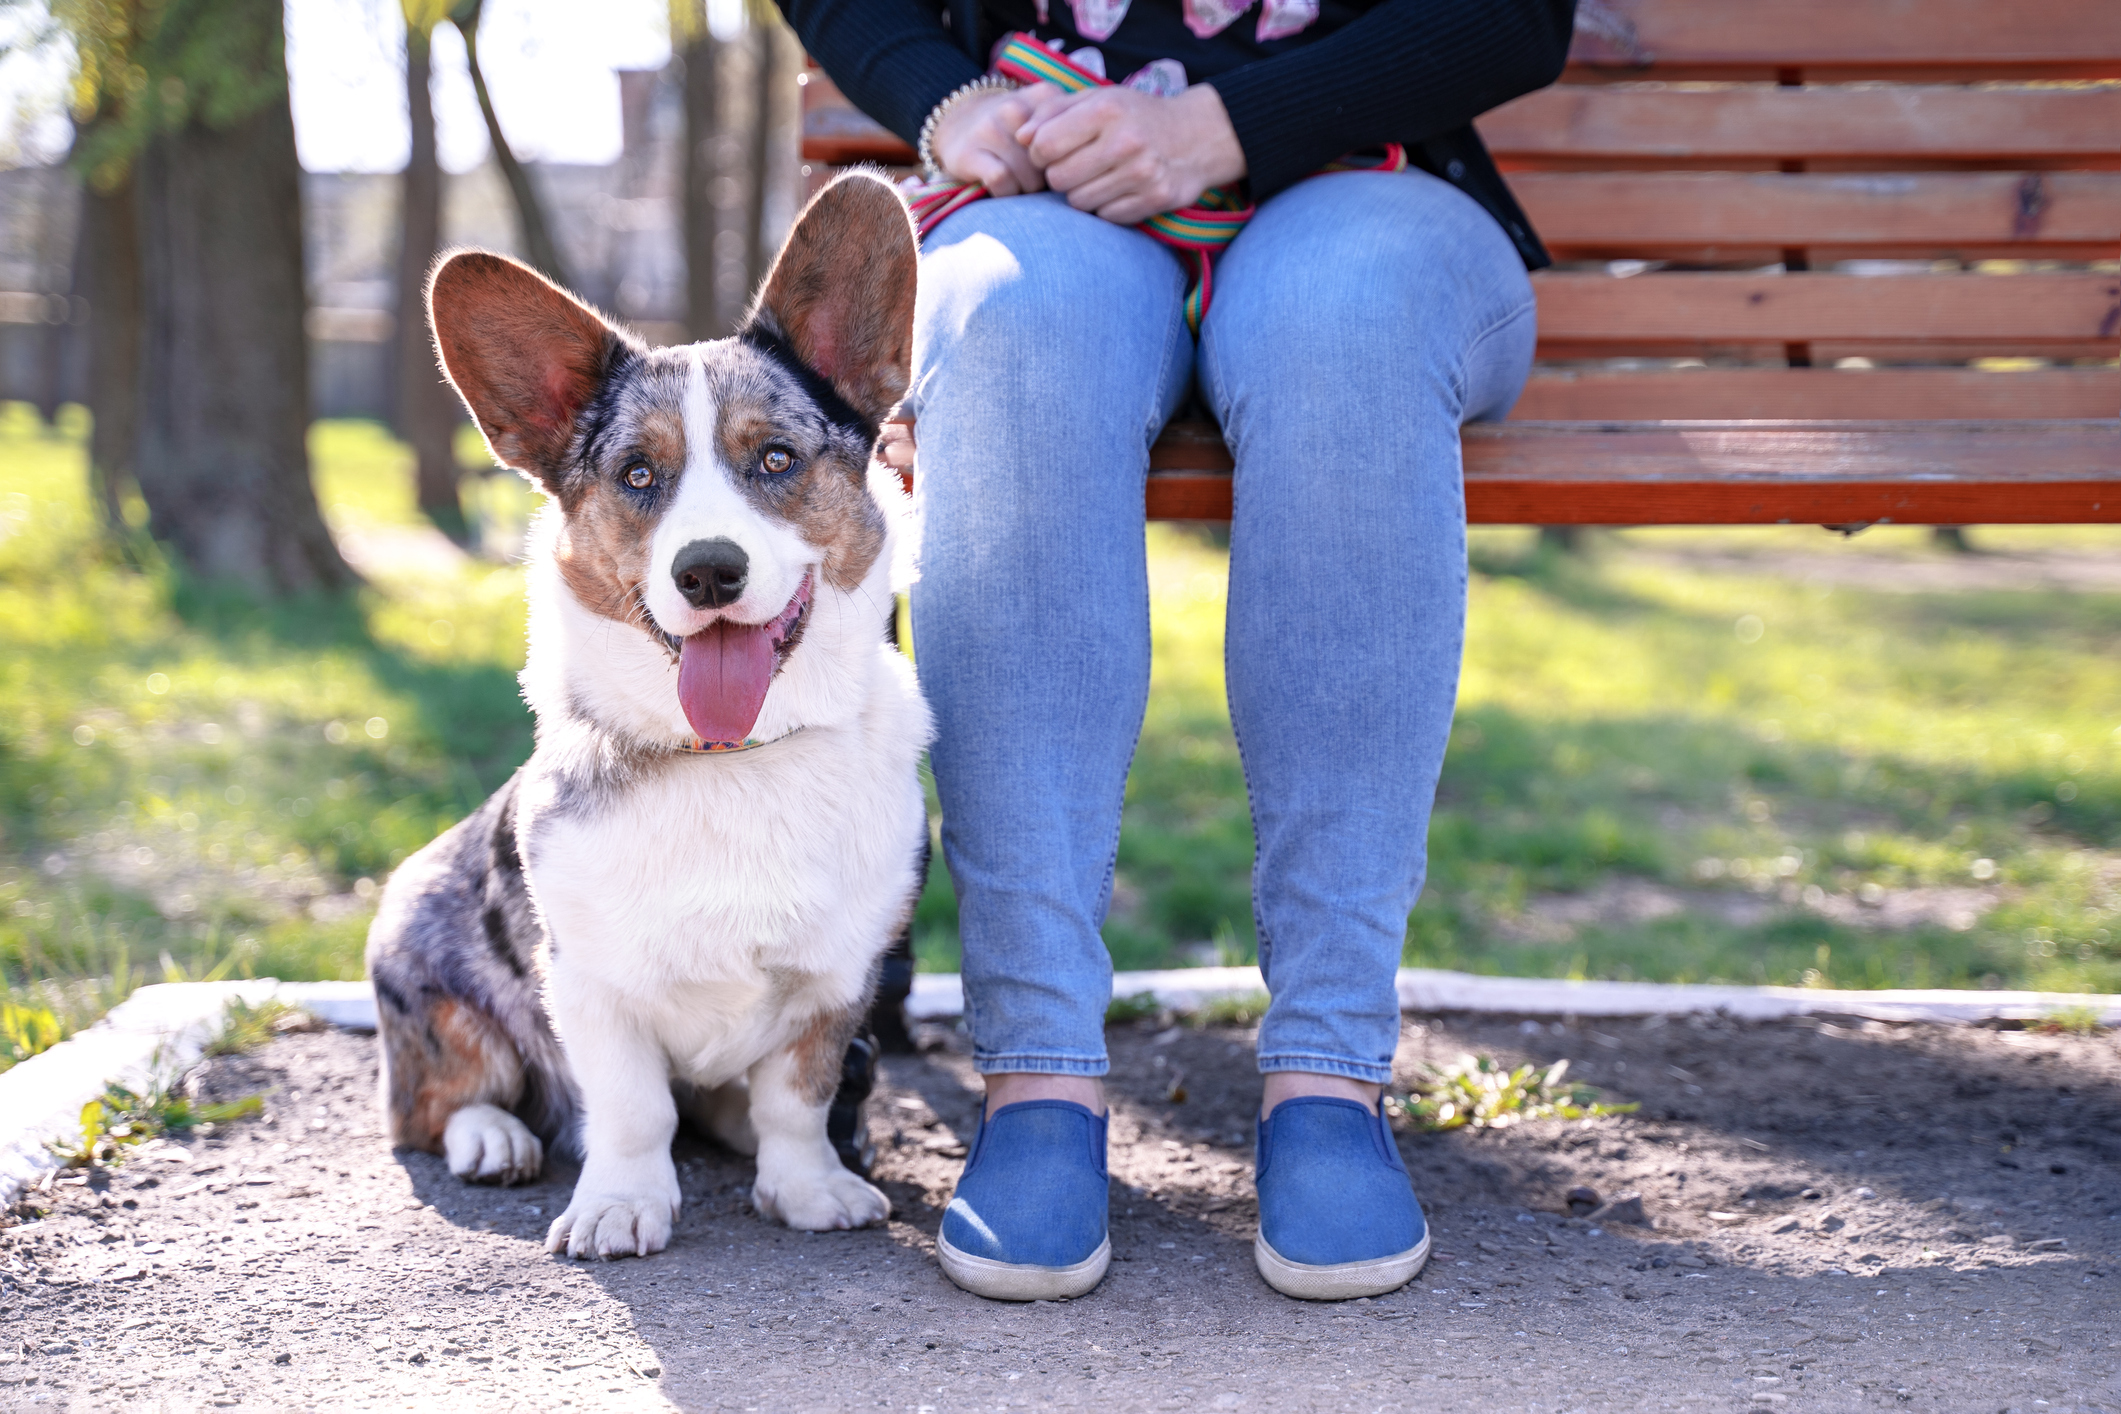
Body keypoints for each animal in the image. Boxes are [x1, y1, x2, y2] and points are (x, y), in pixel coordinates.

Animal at [364, 171, 928, 1255]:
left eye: (776, 459)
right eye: (637, 476)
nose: (708, 570)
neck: (734, 756)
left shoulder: (835, 982)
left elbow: (797, 1099)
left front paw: (809, 1187)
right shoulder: (591, 983)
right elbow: (630, 1108)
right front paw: (622, 1205)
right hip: (422, 955)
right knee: (438, 1103)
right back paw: (494, 1138)